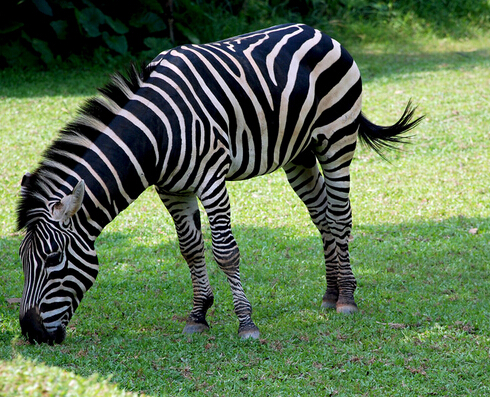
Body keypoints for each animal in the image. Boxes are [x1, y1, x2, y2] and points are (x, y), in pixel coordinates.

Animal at [15, 23, 422, 344]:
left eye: (53, 258)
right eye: (21, 260)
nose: (31, 333)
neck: (156, 135)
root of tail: (320, 32)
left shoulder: (212, 179)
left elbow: (226, 252)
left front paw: (246, 324)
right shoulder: (171, 190)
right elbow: (190, 249)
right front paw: (198, 315)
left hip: (336, 139)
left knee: (339, 216)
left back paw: (347, 299)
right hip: (299, 154)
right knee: (322, 216)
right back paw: (330, 293)